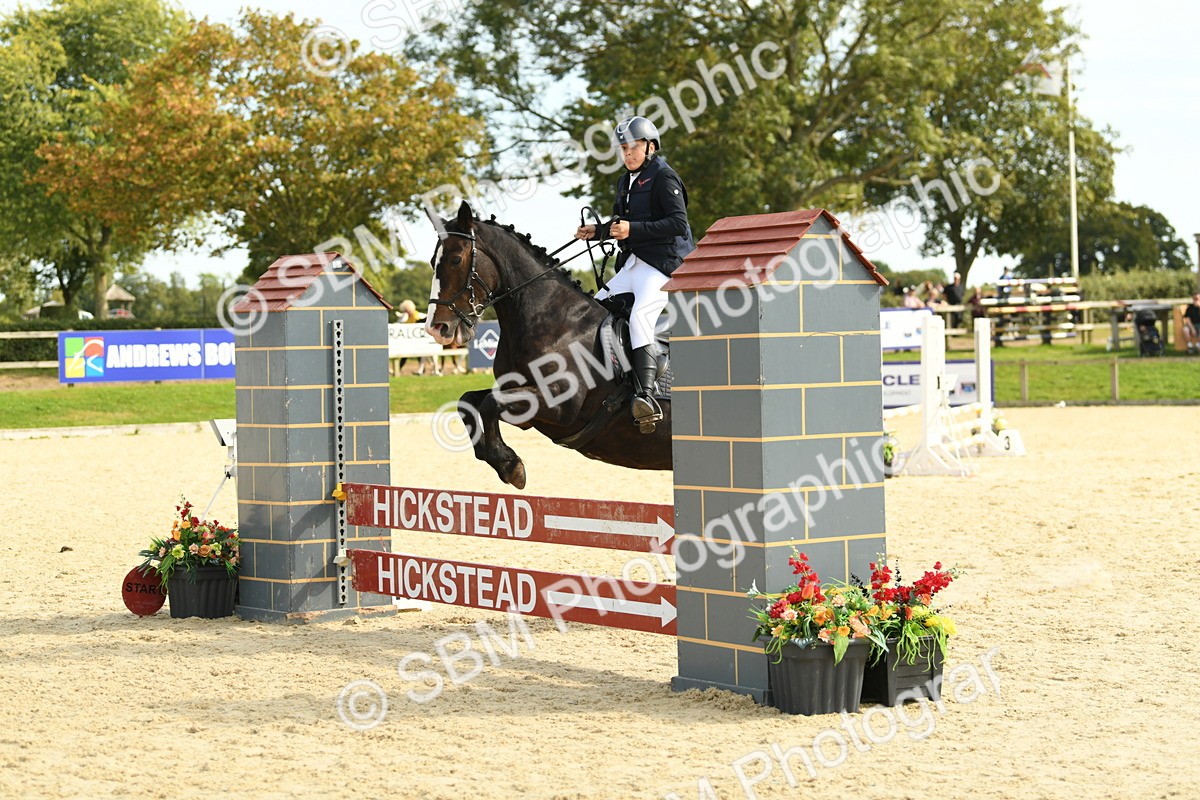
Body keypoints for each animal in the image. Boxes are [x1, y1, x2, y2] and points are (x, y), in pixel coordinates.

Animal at [424, 201, 671, 489]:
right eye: (432, 262)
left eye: (455, 259)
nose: (436, 328)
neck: (553, 318)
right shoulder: (518, 395)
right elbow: (469, 401)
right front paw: (502, 460)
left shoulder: (561, 405)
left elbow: (489, 404)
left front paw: (509, 465)